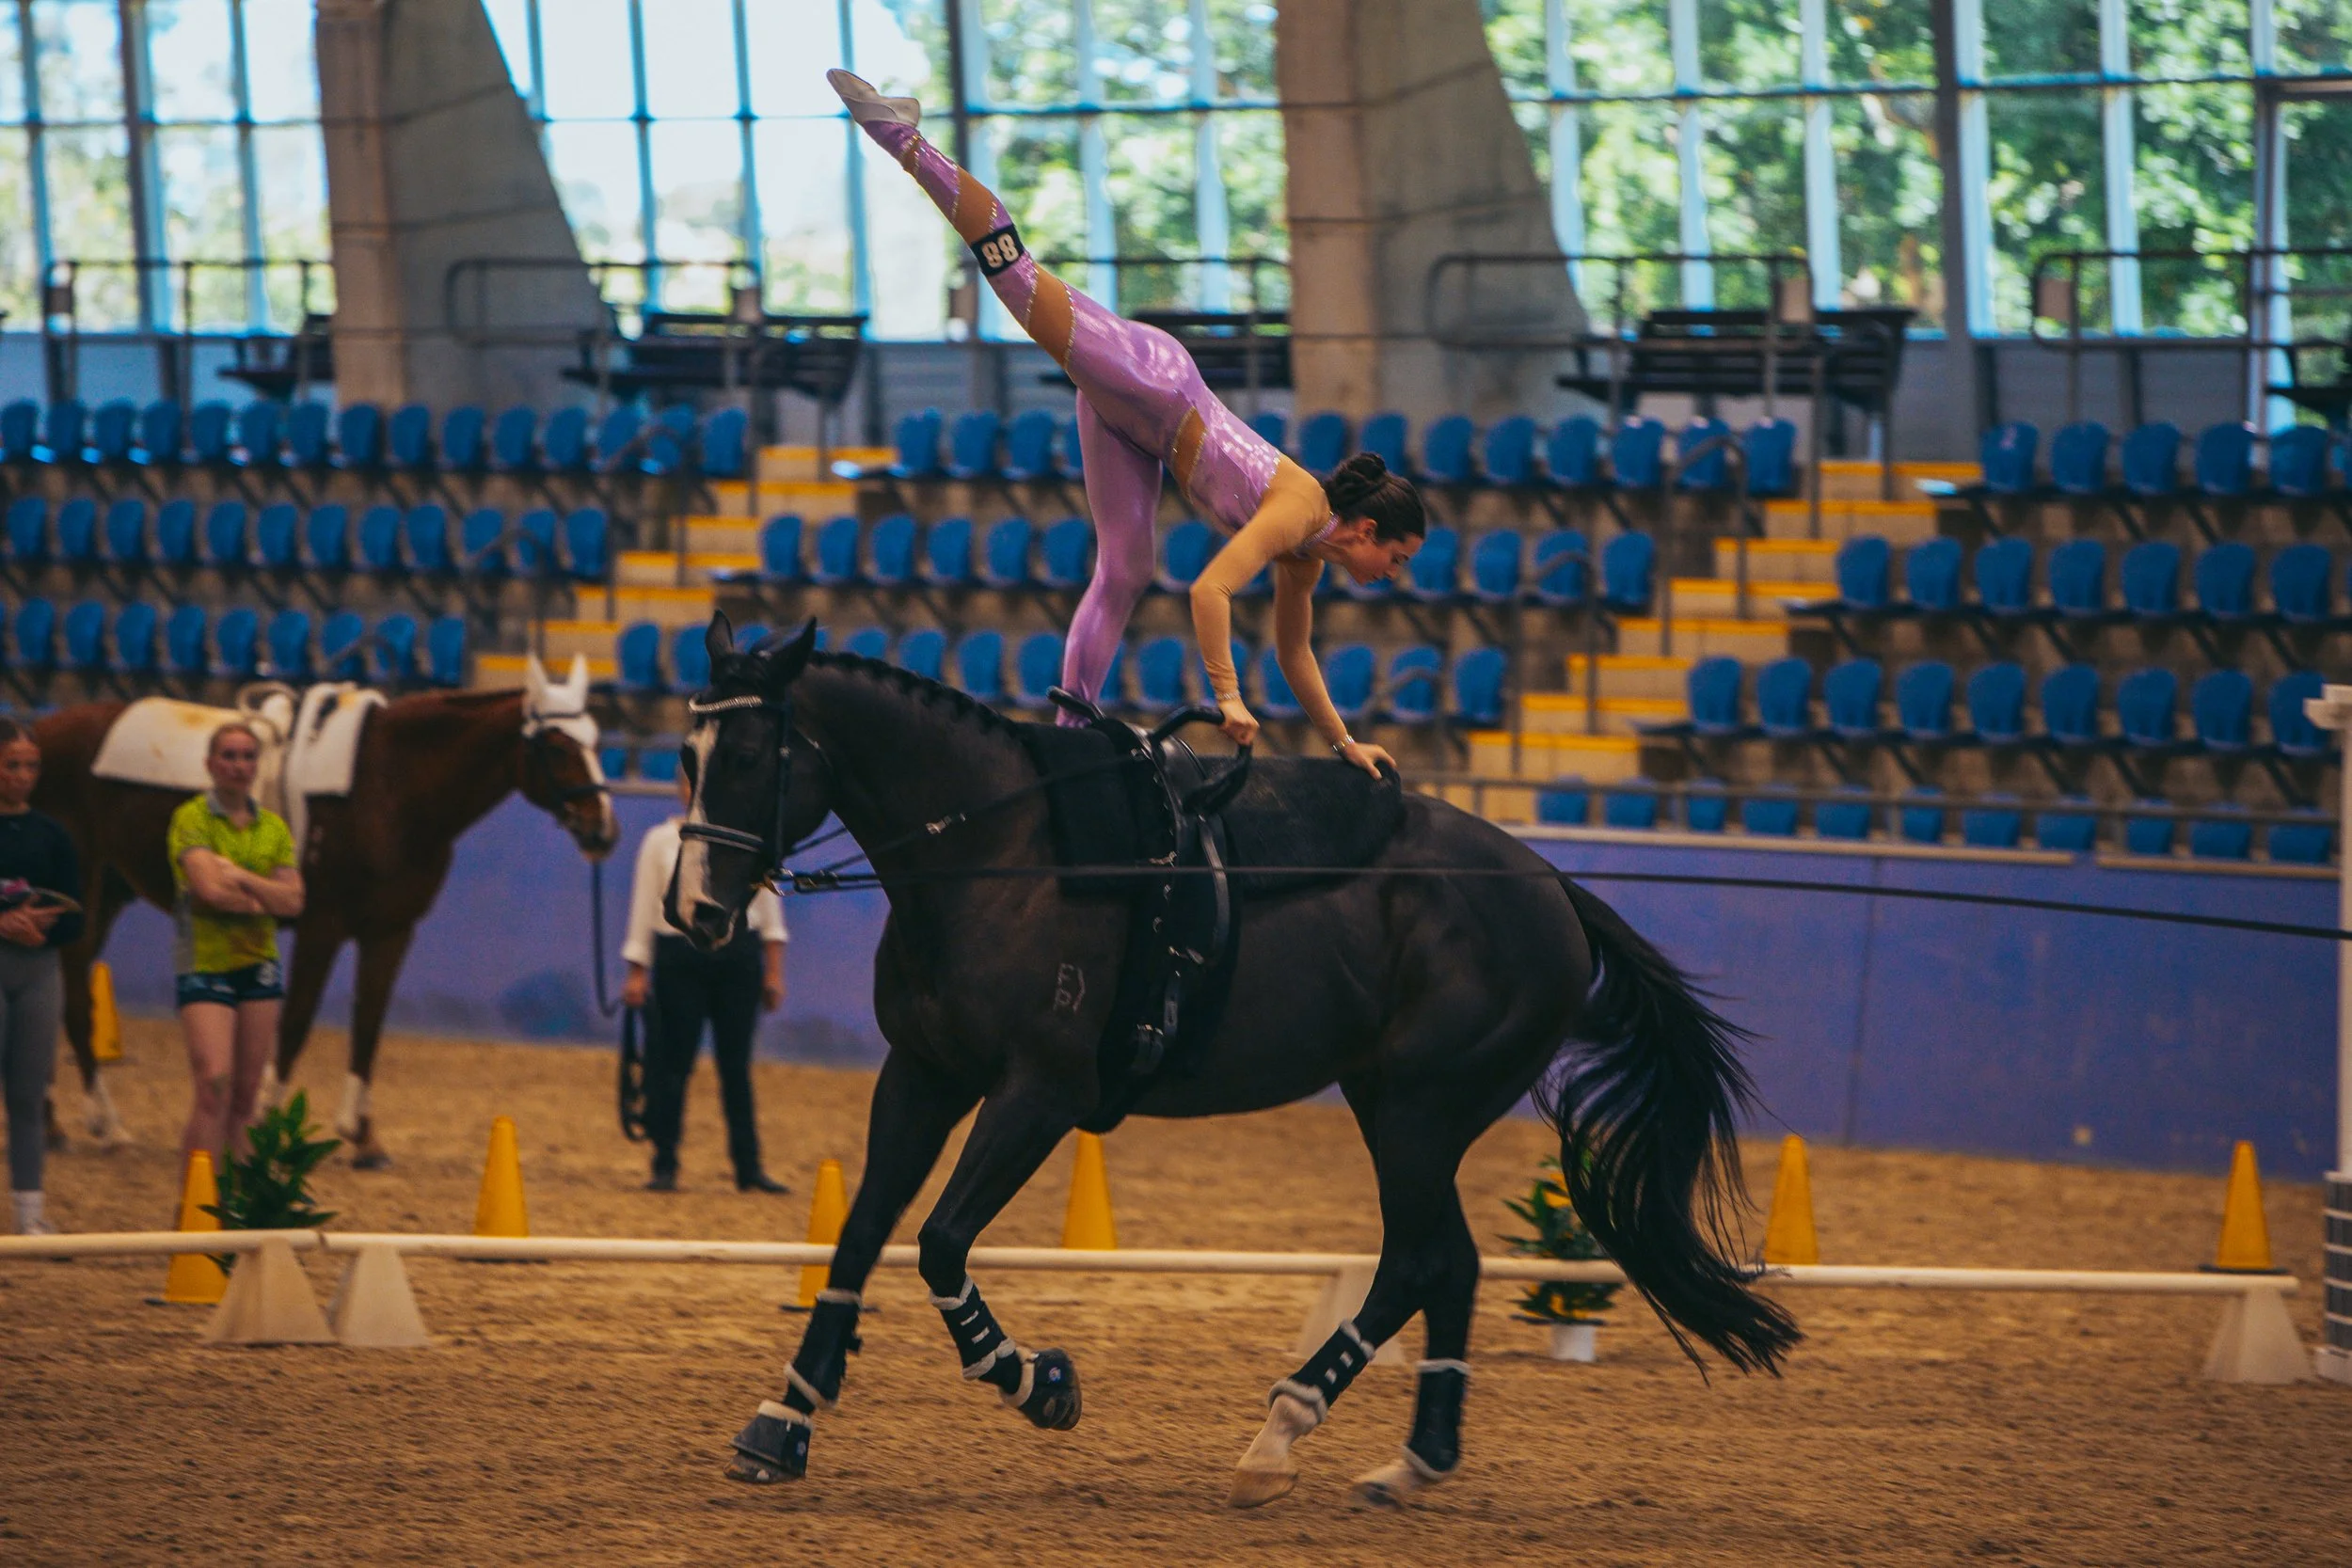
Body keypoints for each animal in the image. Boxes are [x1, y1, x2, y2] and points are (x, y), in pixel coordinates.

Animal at [33, 654, 618, 1165]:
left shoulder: (392, 930)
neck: (389, 784)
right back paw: (106, 1127)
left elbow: (368, 1022)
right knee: (73, 1004)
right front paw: (267, 1123)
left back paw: (56, 1125)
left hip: (107, 894)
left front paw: (364, 1138)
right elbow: (296, 1020)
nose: (603, 831)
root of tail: (33, 737)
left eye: (596, 740)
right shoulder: (322, 924)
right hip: (77, 897)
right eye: (557, 746)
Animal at [665, 616, 1798, 1508]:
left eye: (750, 754)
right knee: (1452, 1260)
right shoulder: (923, 1073)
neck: (1005, 854)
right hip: (1393, 1103)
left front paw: (1040, 1382)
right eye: (686, 752)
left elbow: (940, 1241)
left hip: (1418, 1111)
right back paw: (1410, 1459)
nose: (698, 913)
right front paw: (785, 1419)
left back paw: (1284, 1432)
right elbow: (860, 1234)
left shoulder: (1038, 1091)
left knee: (1416, 1258)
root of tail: (1552, 886)